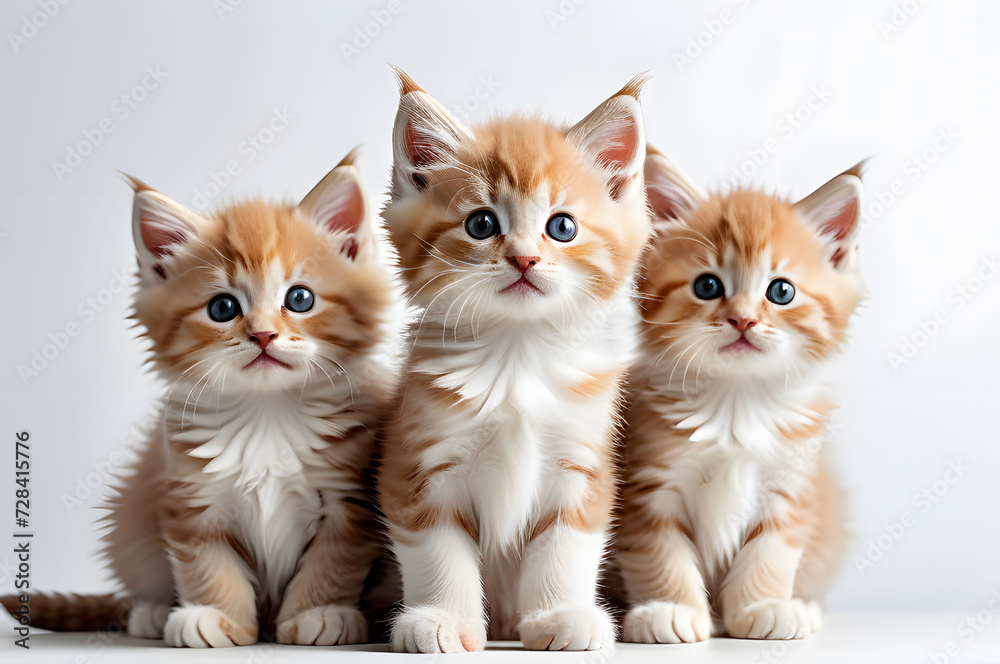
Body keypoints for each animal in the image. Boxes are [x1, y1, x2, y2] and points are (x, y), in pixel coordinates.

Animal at [5, 152, 400, 648]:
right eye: (223, 308)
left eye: (300, 298)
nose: (263, 335)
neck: (268, 413)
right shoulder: (189, 498)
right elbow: (208, 566)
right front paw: (215, 615)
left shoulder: (349, 502)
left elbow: (332, 563)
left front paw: (319, 613)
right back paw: (152, 612)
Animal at [378, 70, 652, 652]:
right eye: (482, 223)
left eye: (562, 226)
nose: (525, 258)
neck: (516, 356)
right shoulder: (417, 461)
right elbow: (438, 549)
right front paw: (443, 618)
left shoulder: (583, 462)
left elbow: (566, 546)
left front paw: (560, 614)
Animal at [612, 152, 864, 644]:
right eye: (708, 286)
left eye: (781, 291)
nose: (743, 320)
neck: (735, 401)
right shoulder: (646, 488)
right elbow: (662, 553)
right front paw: (671, 609)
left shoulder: (789, 485)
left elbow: (769, 553)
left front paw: (762, 606)